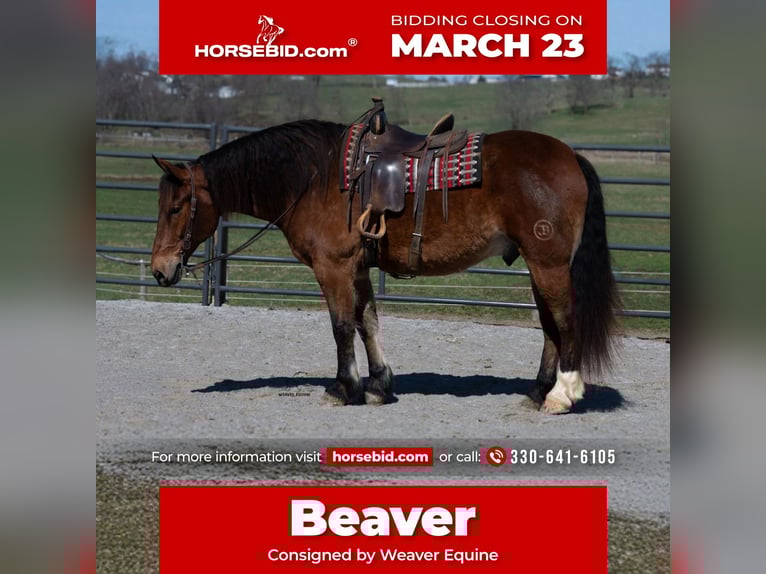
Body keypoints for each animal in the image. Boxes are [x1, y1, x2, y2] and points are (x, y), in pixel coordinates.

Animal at [150, 117, 621, 414]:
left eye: (175, 208)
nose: (159, 270)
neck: (313, 178)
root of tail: (570, 156)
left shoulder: (334, 268)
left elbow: (341, 326)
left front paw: (345, 388)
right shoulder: (358, 268)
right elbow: (368, 322)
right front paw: (378, 385)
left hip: (549, 264)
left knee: (565, 321)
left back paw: (562, 394)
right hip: (539, 267)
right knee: (549, 327)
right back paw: (538, 391)